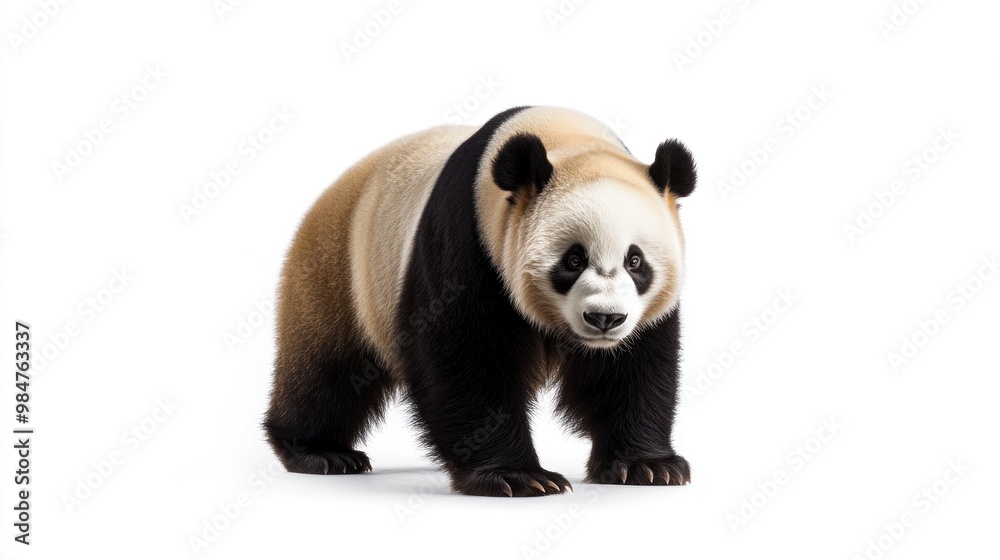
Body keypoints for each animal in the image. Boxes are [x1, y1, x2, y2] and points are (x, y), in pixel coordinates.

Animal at [264, 106, 697, 497]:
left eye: (635, 261)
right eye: (573, 260)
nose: (604, 319)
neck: (562, 138)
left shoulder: (645, 313)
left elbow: (634, 368)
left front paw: (646, 466)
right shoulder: (466, 242)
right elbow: (466, 359)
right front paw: (517, 477)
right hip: (339, 269)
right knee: (328, 369)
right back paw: (321, 453)